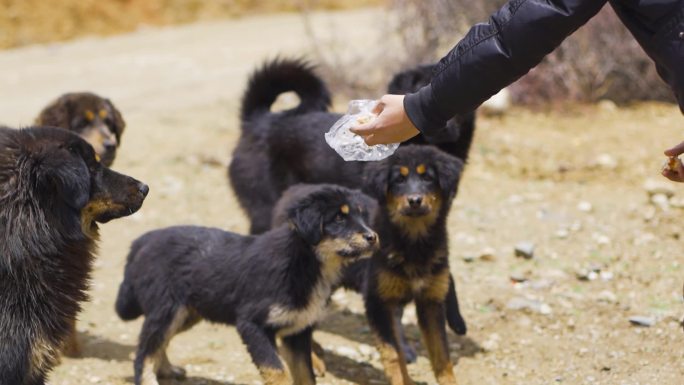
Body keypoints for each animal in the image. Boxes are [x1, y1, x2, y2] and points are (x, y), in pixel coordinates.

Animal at [115, 184, 376, 384]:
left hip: (187, 313)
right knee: (143, 352)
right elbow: (278, 371)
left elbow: (305, 375)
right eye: (339, 217)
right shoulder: (252, 325)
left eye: (362, 216)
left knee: (159, 343)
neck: (306, 263)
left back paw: (167, 370)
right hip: (167, 310)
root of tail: (142, 240)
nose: (373, 237)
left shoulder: (298, 331)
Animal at [358, 145, 464, 384]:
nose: (415, 200)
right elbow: (392, 354)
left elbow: (442, 355)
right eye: (399, 179)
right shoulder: (377, 301)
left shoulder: (430, 301)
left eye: (428, 177)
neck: (414, 243)